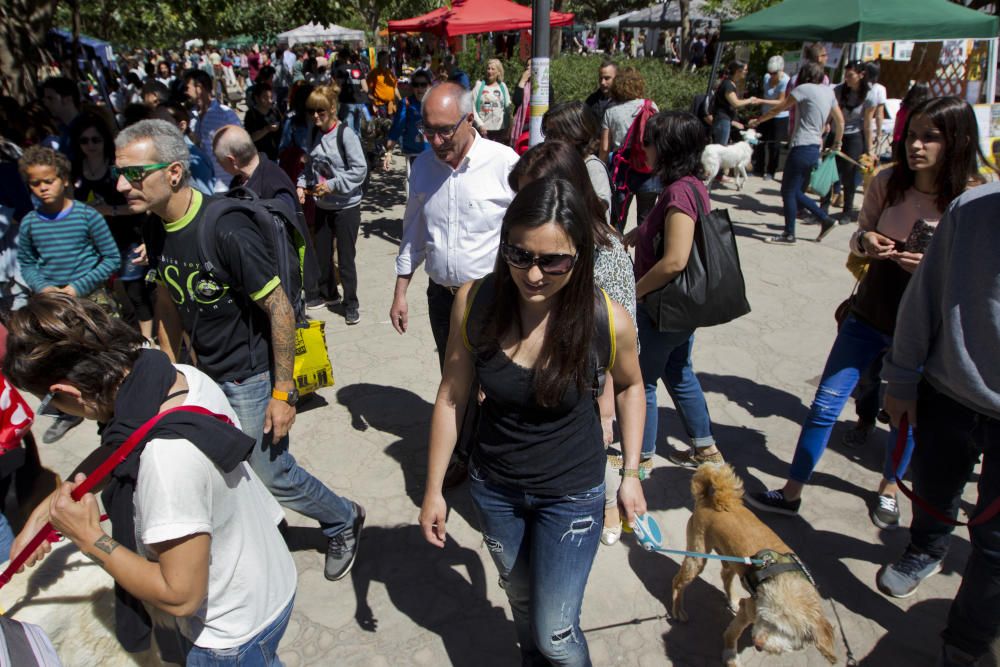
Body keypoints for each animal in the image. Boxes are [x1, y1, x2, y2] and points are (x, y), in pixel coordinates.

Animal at [668, 464, 840, 667]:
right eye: (765, 619)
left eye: (786, 632)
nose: (758, 643)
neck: (788, 580)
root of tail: (712, 500)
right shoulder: (750, 609)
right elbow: (732, 634)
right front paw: (730, 656)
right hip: (697, 557)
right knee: (678, 582)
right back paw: (678, 610)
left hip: (730, 559)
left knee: (725, 576)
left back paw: (732, 600)